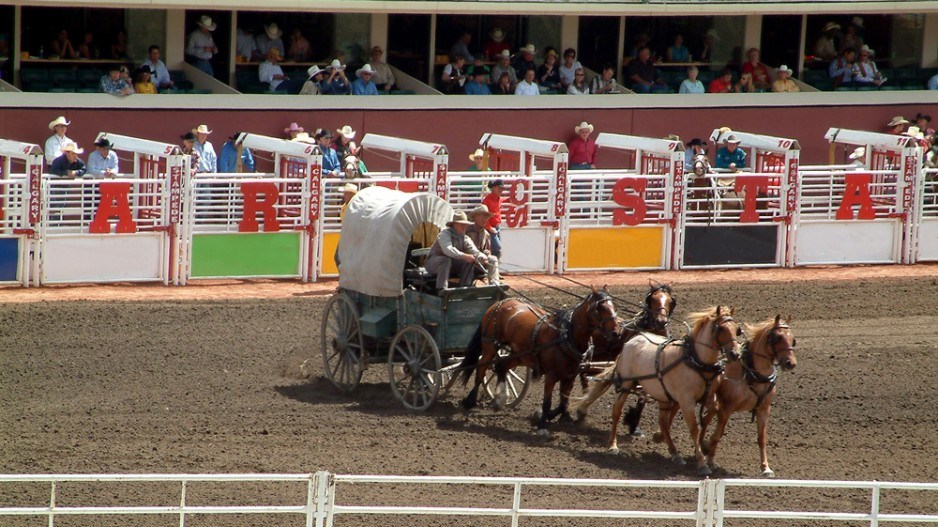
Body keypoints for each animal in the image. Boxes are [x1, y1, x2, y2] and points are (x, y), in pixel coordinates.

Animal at [458, 286, 616, 436]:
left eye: (613, 305)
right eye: (599, 308)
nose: (615, 332)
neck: (566, 337)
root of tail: (500, 303)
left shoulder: (570, 376)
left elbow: (564, 399)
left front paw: (563, 417)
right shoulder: (551, 375)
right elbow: (547, 402)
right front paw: (542, 425)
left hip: (520, 355)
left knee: (501, 366)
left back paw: (500, 398)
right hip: (490, 346)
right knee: (481, 369)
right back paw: (470, 400)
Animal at [572, 306, 740, 474]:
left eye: (736, 329)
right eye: (721, 328)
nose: (735, 354)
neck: (696, 361)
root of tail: (631, 341)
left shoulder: (709, 397)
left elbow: (713, 412)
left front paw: (705, 446)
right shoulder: (686, 401)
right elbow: (694, 429)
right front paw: (702, 462)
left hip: (662, 393)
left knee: (663, 421)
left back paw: (675, 453)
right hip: (626, 384)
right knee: (617, 411)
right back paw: (613, 445)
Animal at [700, 318, 792, 478]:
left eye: (792, 338)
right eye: (778, 337)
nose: (790, 363)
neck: (752, 373)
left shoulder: (764, 410)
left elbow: (762, 439)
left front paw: (765, 468)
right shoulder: (726, 408)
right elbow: (718, 435)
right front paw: (711, 462)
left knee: (705, 420)